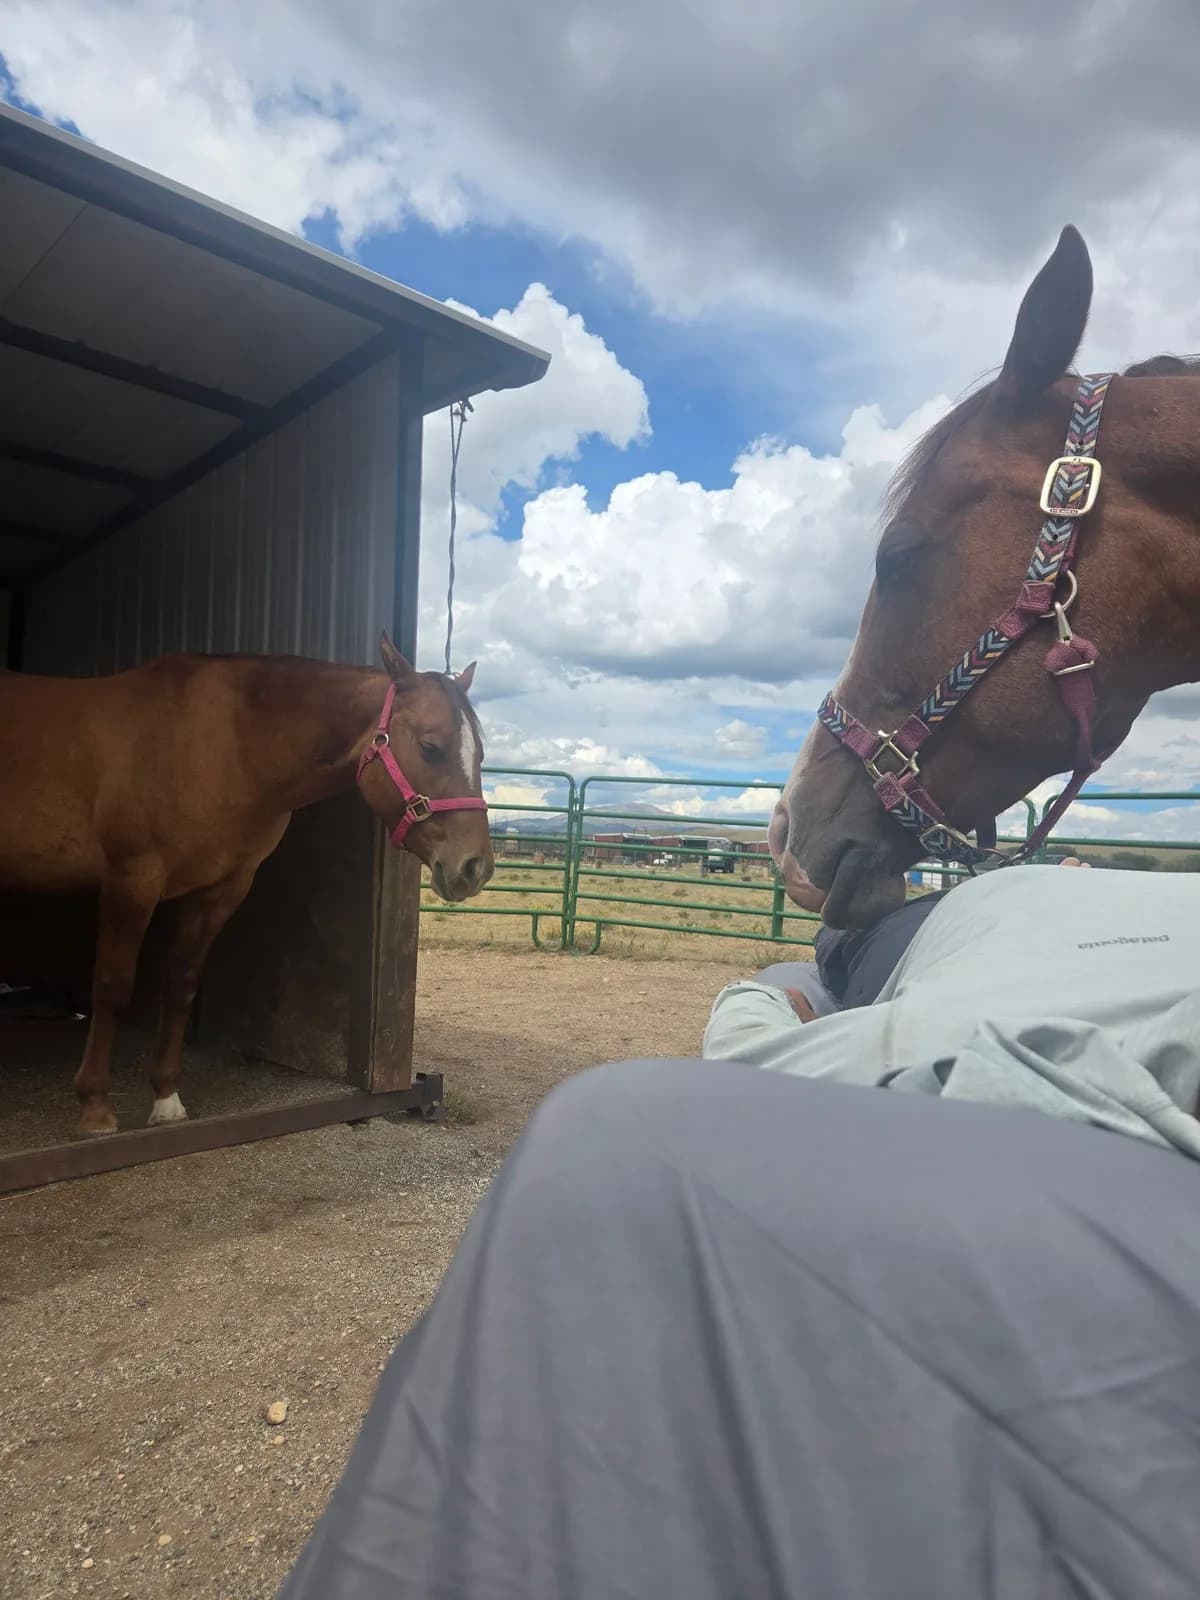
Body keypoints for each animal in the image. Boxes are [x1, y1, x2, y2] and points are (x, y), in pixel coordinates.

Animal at [0, 634, 492, 1136]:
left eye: (479, 756)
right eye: (430, 747)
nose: (475, 867)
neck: (225, 746)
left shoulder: (219, 890)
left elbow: (181, 985)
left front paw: (166, 1099)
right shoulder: (131, 880)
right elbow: (112, 985)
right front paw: (96, 1106)